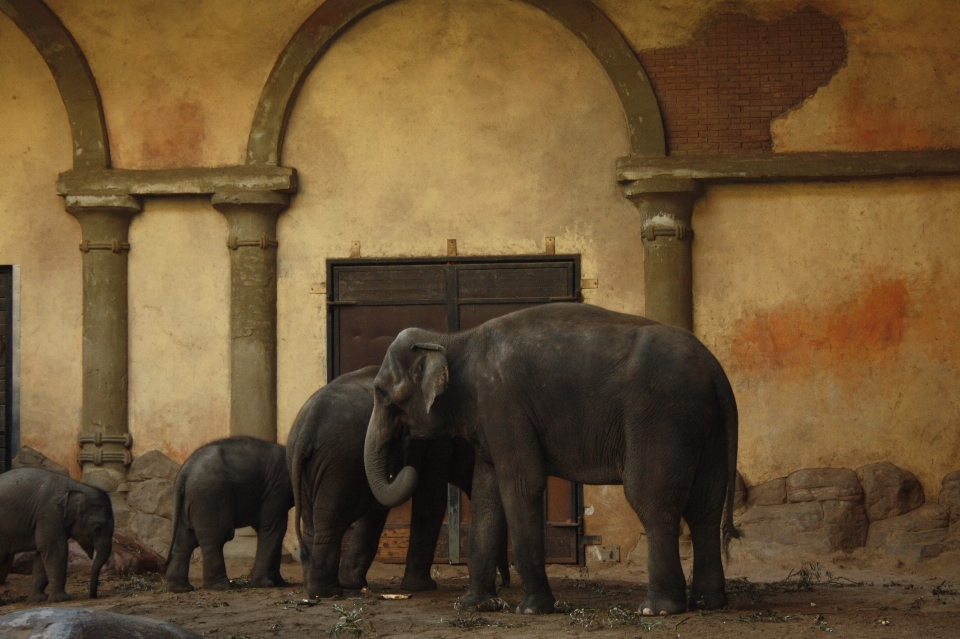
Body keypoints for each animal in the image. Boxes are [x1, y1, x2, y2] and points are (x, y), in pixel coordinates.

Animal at [0, 468, 113, 604]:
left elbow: (43, 553)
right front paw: (61, 599)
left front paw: (37, 600)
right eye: (97, 528)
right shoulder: (50, 513)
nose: (93, 596)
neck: (76, 487)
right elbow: (55, 549)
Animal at [165, 438, 292, 592]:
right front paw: (265, 584)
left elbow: (277, 531)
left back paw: (181, 588)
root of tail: (184, 471)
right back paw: (221, 586)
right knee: (216, 537)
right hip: (210, 496)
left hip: (190, 500)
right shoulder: (276, 488)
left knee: (185, 539)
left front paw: (280, 583)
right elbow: (273, 528)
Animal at [364, 304, 740, 616]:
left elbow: (521, 485)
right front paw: (473, 605)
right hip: (705, 424)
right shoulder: (490, 417)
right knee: (705, 507)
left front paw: (531, 610)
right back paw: (708, 603)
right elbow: (486, 492)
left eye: (381, 392)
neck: (453, 338)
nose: (406, 460)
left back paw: (657, 610)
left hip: (663, 417)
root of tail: (715, 369)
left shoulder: (503, 402)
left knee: (652, 500)